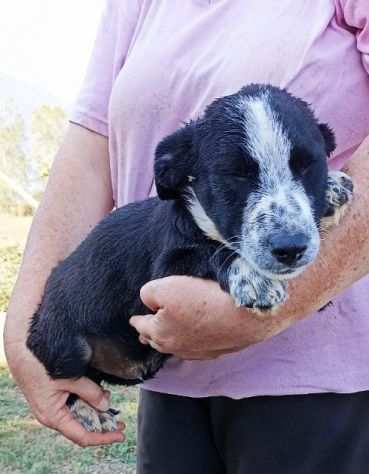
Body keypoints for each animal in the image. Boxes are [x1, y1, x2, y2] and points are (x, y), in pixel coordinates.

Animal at [27, 83, 352, 432]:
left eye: (307, 165)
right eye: (235, 175)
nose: (290, 248)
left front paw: (332, 188)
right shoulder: (165, 268)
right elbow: (212, 251)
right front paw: (252, 278)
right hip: (66, 345)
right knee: (68, 380)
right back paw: (90, 411)